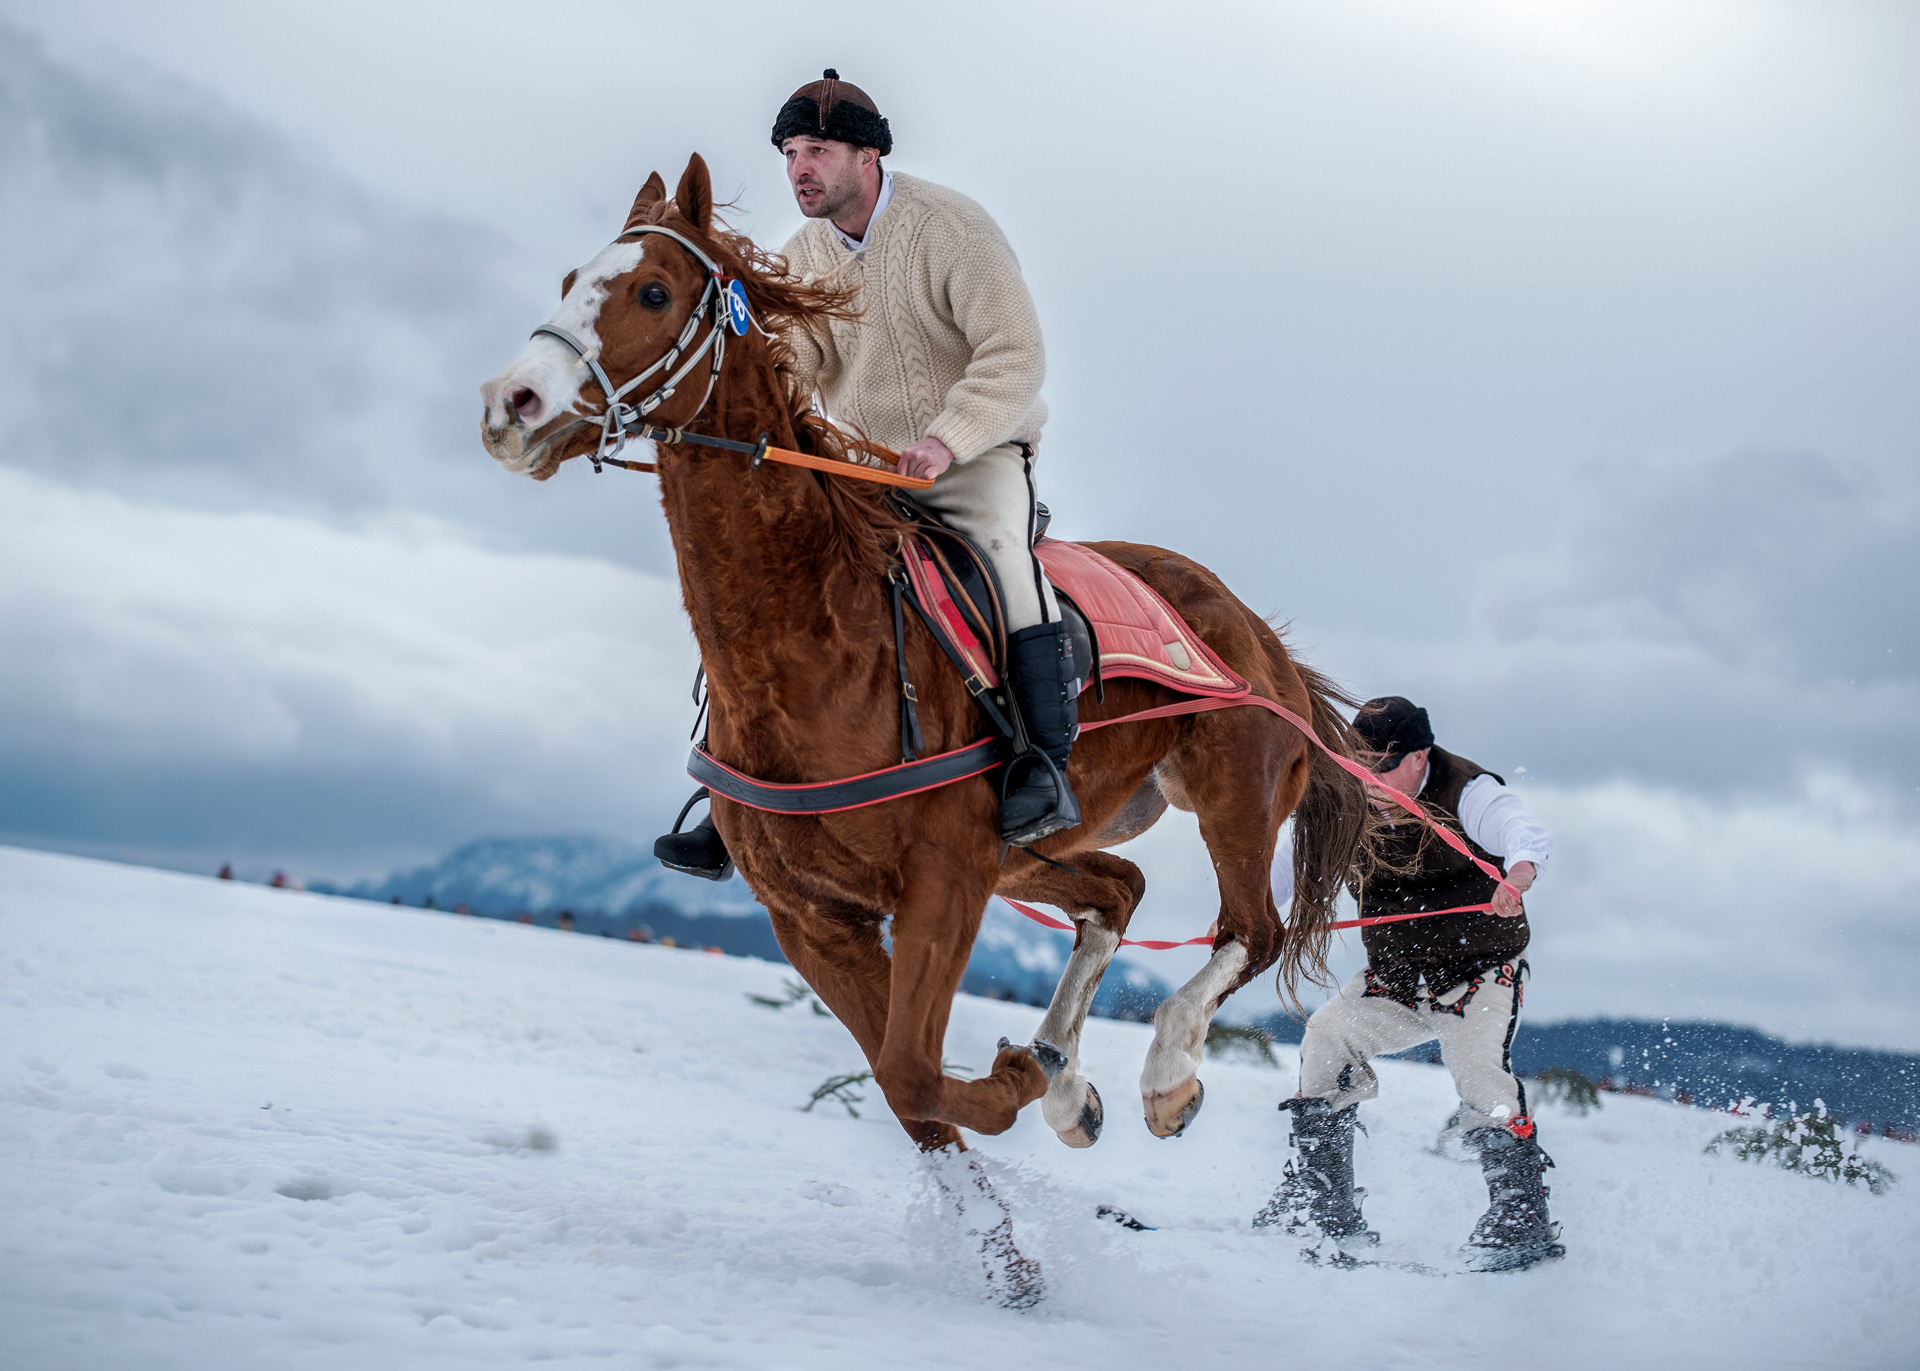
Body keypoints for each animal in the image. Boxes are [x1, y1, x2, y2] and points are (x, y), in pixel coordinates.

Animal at [479, 153, 1370, 1288]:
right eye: (566, 280)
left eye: (652, 292)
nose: (511, 403)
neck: (817, 640)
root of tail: (1258, 632)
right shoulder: (814, 915)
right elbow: (910, 1098)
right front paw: (1013, 1237)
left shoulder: (942, 883)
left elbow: (911, 1070)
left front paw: (1019, 1087)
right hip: (1038, 848)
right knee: (1116, 891)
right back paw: (1068, 1078)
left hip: (1231, 799)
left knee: (1247, 931)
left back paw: (1160, 1077)